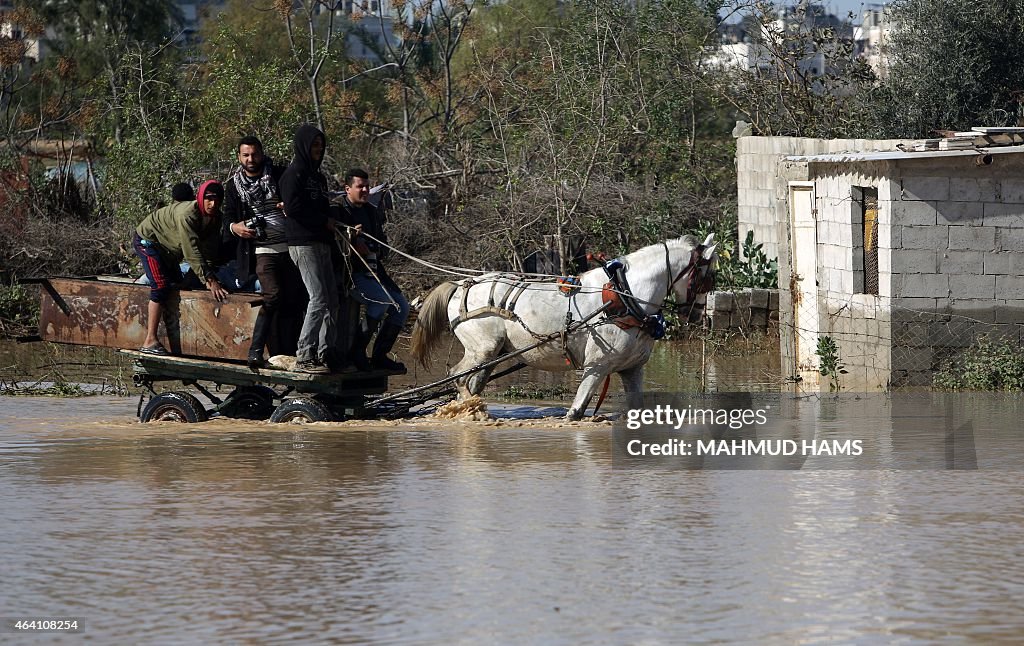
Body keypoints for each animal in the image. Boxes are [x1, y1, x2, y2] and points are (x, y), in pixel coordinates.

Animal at [409, 235, 720, 421]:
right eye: (706, 277)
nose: (702, 317)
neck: (623, 297)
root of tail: (461, 284)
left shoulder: (632, 369)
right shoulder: (597, 366)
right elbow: (576, 412)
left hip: (492, 354)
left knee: (472, 382)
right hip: (481, 350)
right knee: (458, 376)